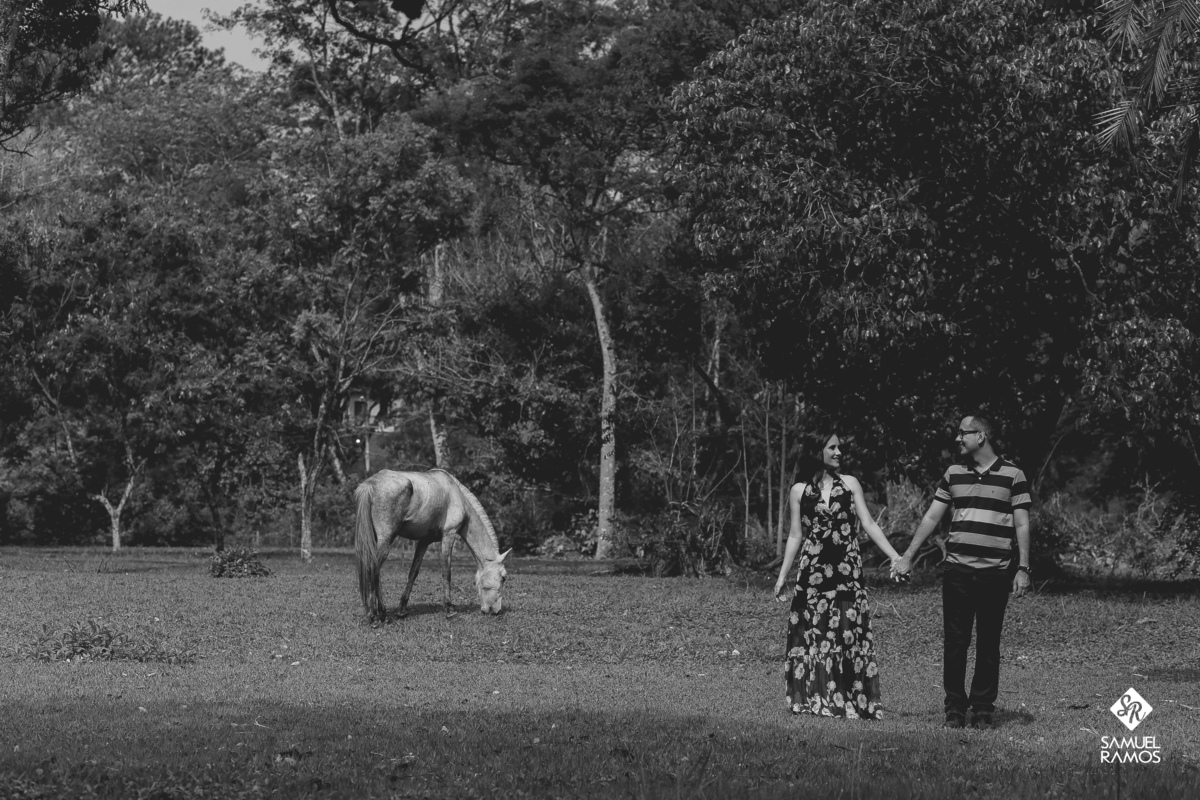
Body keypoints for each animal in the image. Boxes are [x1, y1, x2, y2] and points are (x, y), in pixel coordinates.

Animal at [354, 468, 510, 623]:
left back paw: (376, 613)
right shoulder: (449, 535)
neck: (457, 495)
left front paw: (402, 610)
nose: (496, 611)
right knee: (373, 569)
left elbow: (413, 572)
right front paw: (449, 609)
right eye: (503, 577)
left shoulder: (424, 541)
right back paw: (377, 614)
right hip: (386, 540)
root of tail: (370, 484)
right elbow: (446, 572)